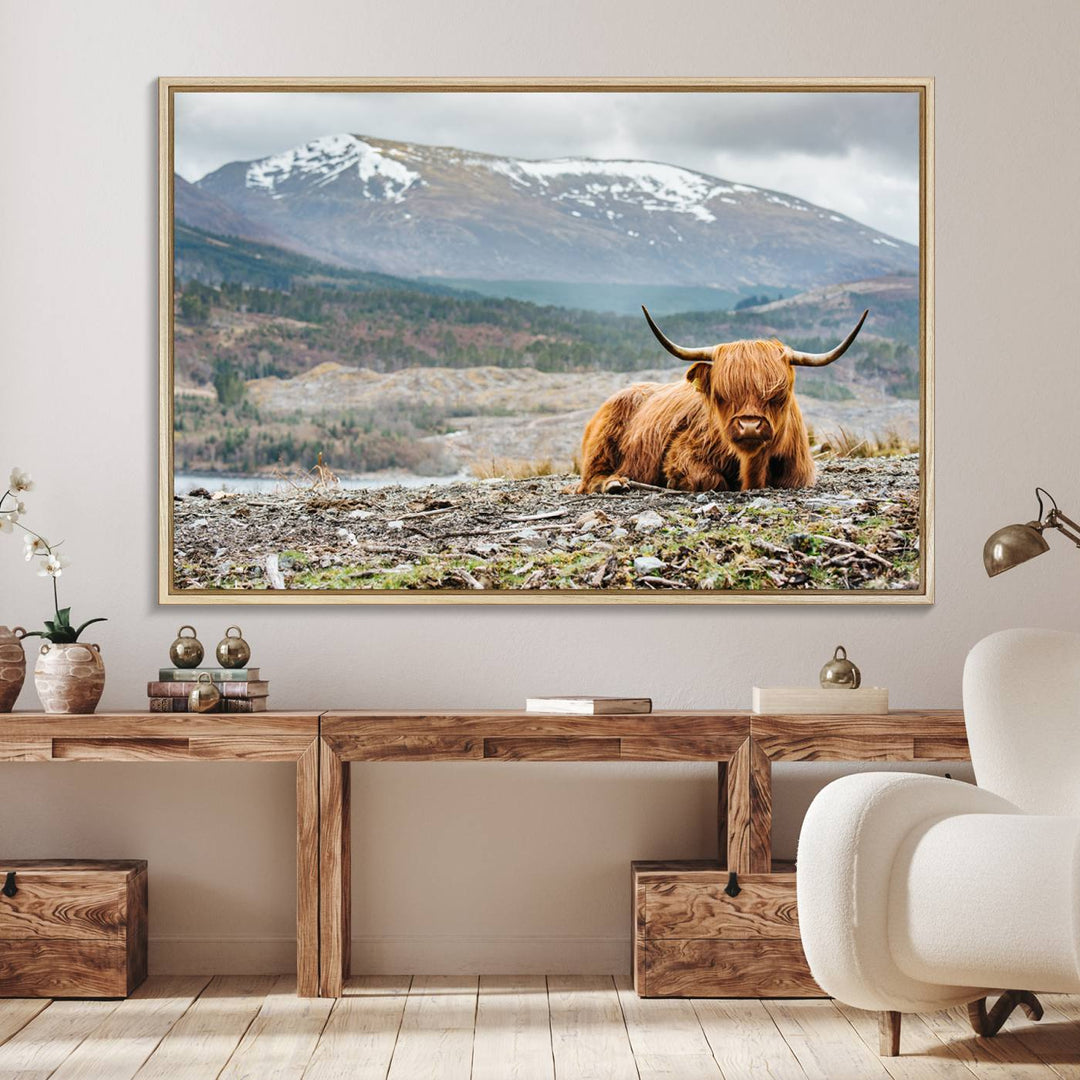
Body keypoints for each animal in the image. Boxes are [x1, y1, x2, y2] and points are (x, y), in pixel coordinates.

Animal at [574, 306, 868, 494]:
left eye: (778, 394)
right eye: (721, 395)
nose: (749, 426)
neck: (752, 468)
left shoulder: (800, 474)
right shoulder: (682, 454)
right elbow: (710, 479)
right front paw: (675, 484)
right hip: (602, 443)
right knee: (590, 478)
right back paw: (614, 483)